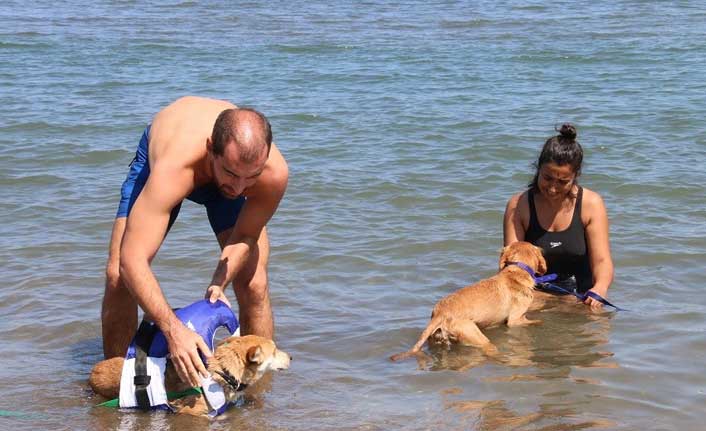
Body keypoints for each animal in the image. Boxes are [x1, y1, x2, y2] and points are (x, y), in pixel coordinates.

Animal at [390, 241, 544, 362]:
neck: (517, 270)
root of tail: (440, 313)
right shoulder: (515, 320)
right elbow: (534, 321)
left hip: (438, 339)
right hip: (476, 336)